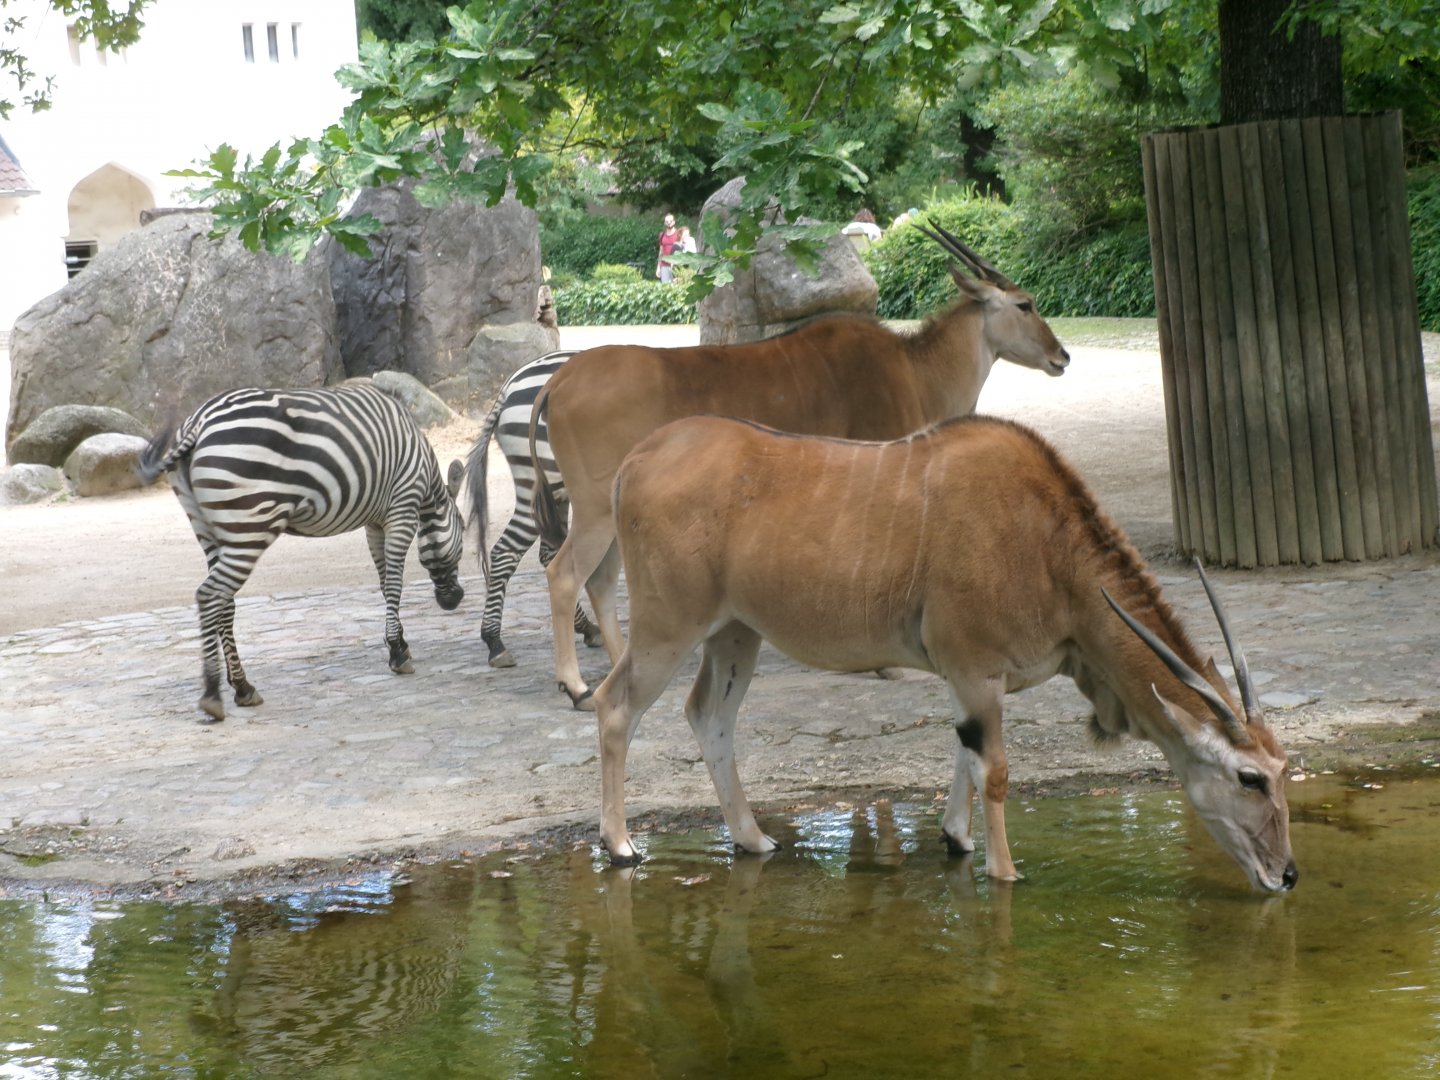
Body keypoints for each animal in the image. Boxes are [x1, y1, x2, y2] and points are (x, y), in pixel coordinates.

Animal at [138, 381, 465, 721]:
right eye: (465, 528)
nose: (453, 600)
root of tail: (197, 421)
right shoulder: (403, 505)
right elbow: (394, 582)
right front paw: (398, 652)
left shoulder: (375, 522)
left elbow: (384, 581)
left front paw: (398, 642)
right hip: (249, 526)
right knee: (210, 595)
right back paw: (212, 694)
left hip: (206, 528)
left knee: (224, 603)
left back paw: (243, 687)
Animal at [465, 351, 602, 668]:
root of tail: (509, 386)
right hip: (542, 482)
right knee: (506, 551)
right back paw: (494, 641)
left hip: (554, 492)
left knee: (551, 555)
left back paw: (585, 627)